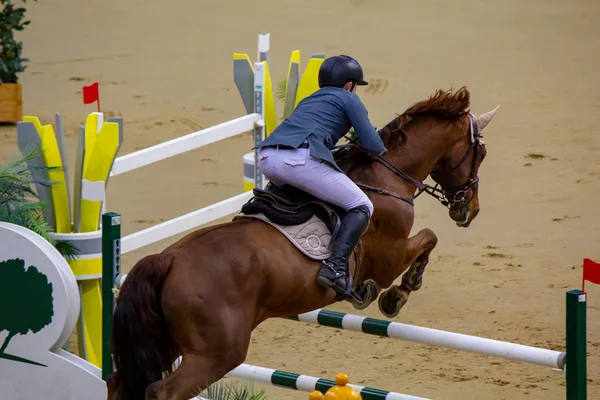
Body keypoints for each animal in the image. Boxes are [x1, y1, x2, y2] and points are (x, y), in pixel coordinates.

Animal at [106, 86, 496, 398]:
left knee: (118, 382)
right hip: (215, 354)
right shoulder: (389, 256)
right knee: (162, 391)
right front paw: (396, 296)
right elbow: (428, 240)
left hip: (164, 342)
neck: (387, 176)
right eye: (482, 153)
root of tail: (167, 260)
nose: (470, 210)